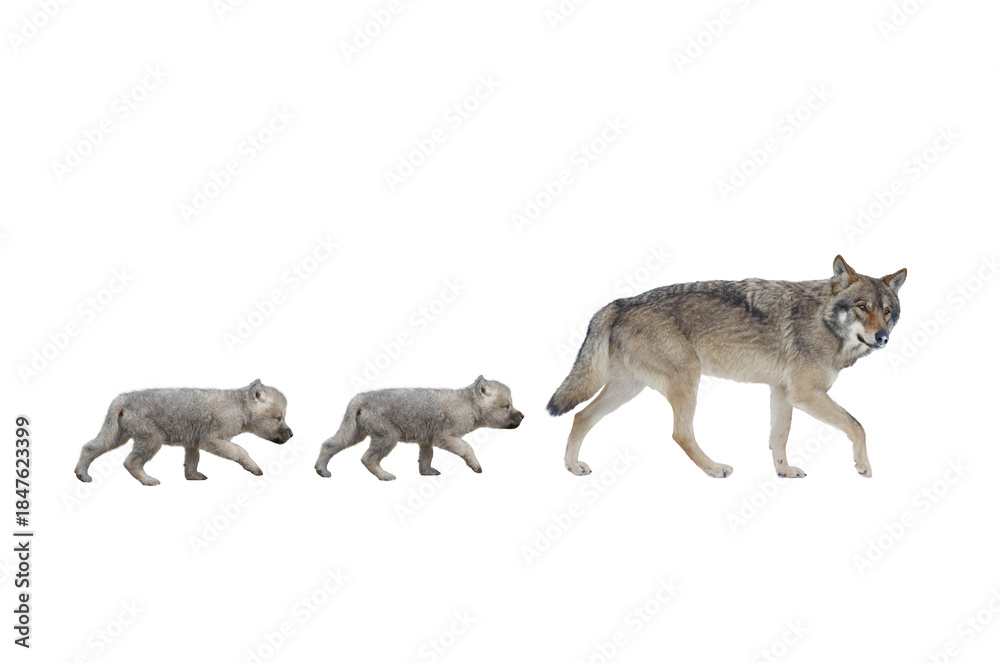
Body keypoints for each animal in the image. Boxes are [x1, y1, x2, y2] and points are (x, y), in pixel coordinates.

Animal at [74, 379, 293, 485]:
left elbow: (192, 460)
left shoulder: (194, 440)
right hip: (152, 437)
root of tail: (123, 399)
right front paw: (254, 468)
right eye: (279, 417)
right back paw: (148, 480)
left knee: (91, 447)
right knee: (131, 462)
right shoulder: (212, 438)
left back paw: (82, 474)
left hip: (118, 433)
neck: (239, 407)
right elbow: (239, 450)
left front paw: (192, 476)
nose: (291, 435)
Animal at [315, 376, 524, 481]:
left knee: (330, 444)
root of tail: (360, 398)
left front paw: (426, 472)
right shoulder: (444, 436)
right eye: (506, 406)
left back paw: (321, 470)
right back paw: (384, 475)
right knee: (368, 458)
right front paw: (475, 466)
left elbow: (426, 457)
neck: (468, 404)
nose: (522, 416)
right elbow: (466, 447)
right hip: (388, 435)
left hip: (355, 431)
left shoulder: (427, 438)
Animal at [548, 256, 906, 479]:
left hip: (628, 389)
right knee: (680, 434)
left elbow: (779, 437)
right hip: (686, 382)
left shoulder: (783, 392)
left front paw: (784, 471)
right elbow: (857, 425)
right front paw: (863, 466)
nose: (883, 337)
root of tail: (621, 302)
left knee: (581, 417)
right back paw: (713, 468)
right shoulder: (805, 394)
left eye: (887, 311)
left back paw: (572, 467)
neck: (824, 322)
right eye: (862, 307)